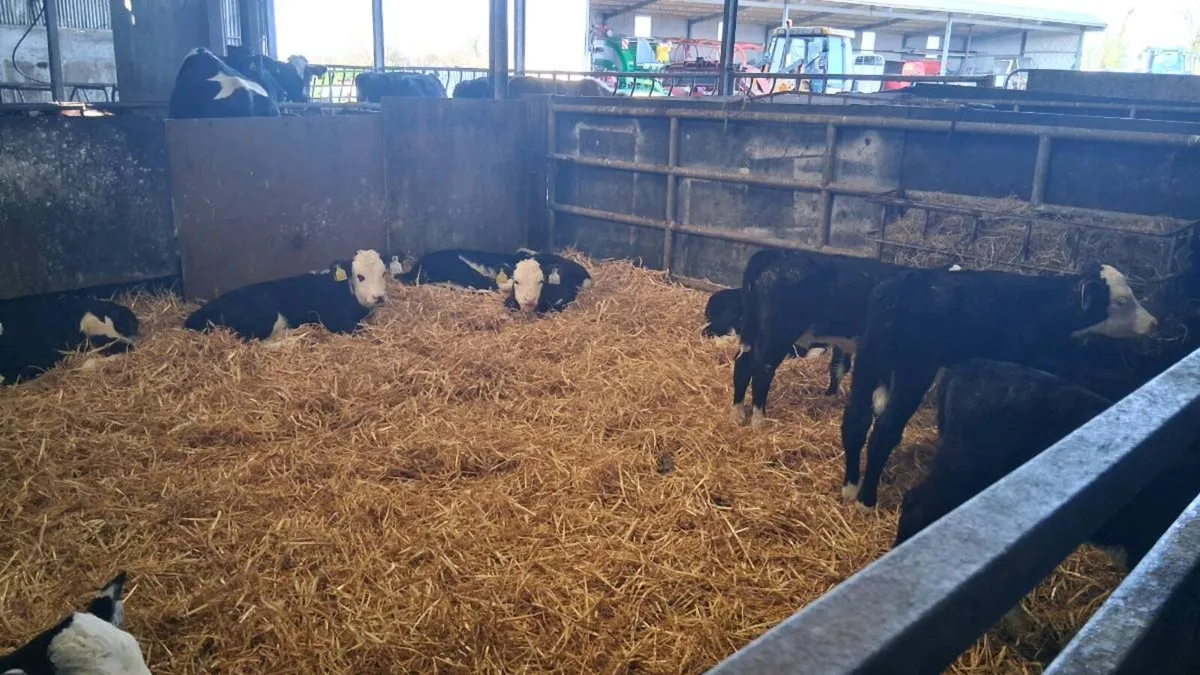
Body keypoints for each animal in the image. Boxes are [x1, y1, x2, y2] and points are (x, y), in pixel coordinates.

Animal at [842, 263, 1159, 509]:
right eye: (1121, 301)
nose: (1153, 323)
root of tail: (899, 288)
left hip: (871, 357)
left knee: (856, 420)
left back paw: (850, 487)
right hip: (914, 369)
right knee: (885, 430)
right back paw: (866, 500)